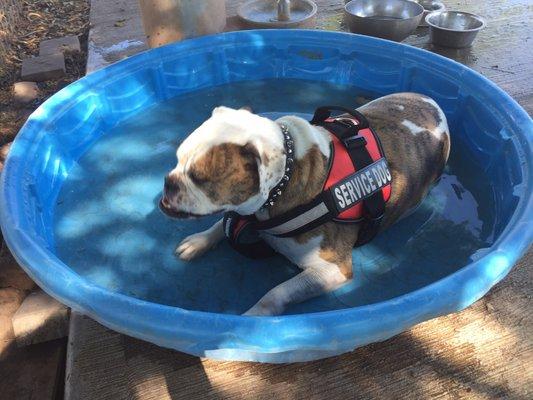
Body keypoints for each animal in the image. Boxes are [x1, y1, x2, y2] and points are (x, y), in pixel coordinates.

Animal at [161, 93, 448, 316]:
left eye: (198, 177)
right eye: (177, 159)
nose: (169, 182)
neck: (285, 178)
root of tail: (432, 103)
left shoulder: (333, 269)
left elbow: (275, 293)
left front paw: (254, 320)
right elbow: (222, 223)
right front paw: (200, 241)